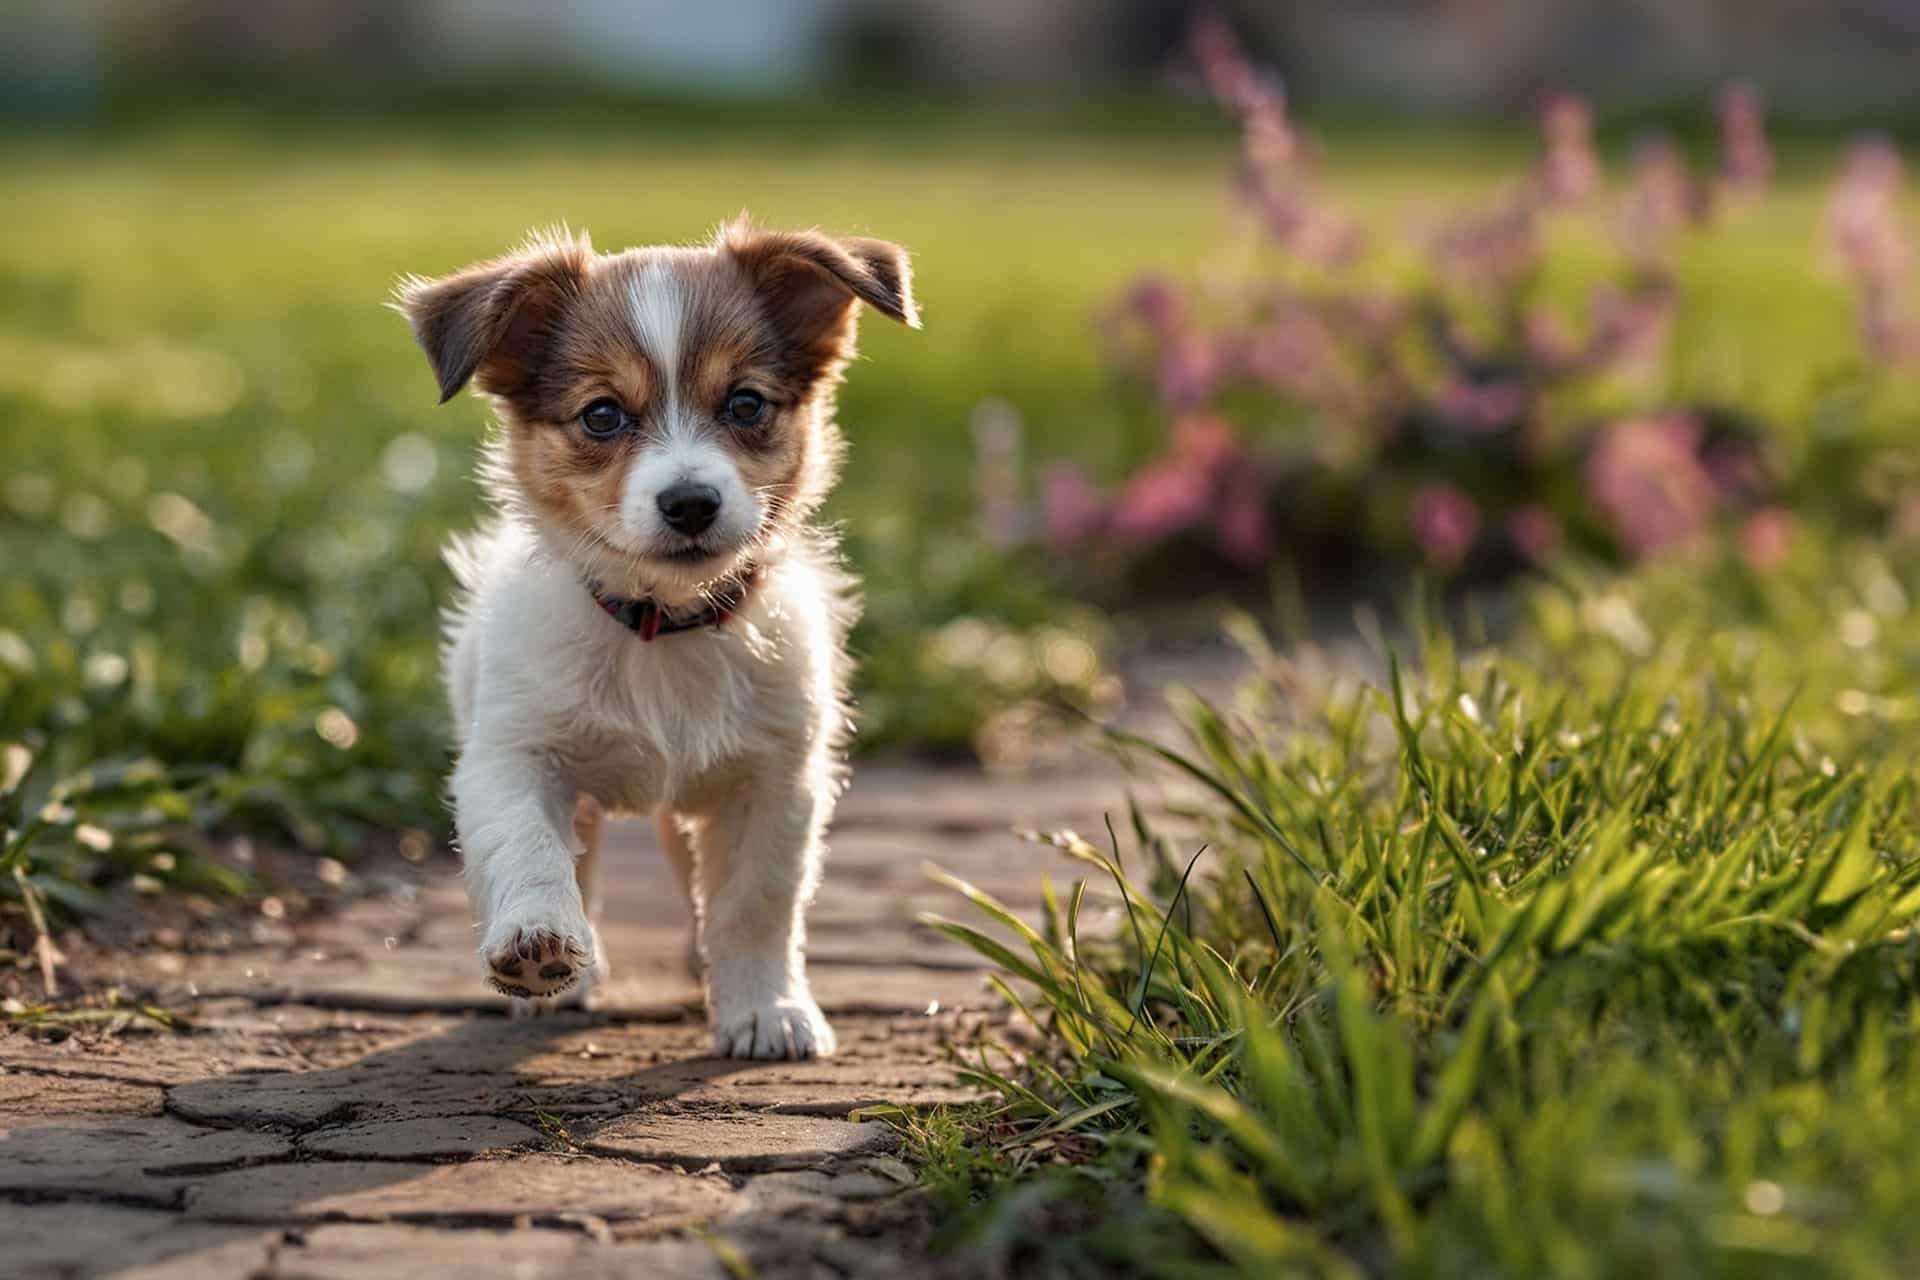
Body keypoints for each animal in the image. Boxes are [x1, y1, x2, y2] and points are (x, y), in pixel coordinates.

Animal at [393, 222, 917, 1059]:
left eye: (745, 402)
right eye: (603, 415)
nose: (691, 502)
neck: (660, 625)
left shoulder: (775, 779)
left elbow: (754, 901)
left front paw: (764, 1007)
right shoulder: (512, 754)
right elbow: (528, 846)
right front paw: (538, 941)